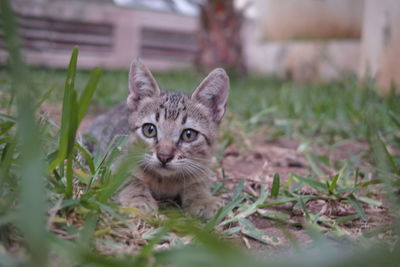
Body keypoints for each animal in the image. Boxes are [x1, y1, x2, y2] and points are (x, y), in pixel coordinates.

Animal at [86, 59, 231, 220]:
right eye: (149, 130)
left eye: (188, 134)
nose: (164, 156)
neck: (165, 181)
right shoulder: (115, 164)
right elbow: (130, 180)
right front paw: (139, 199)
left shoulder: (201, 169)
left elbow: (197, 184)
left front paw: (203, 200)